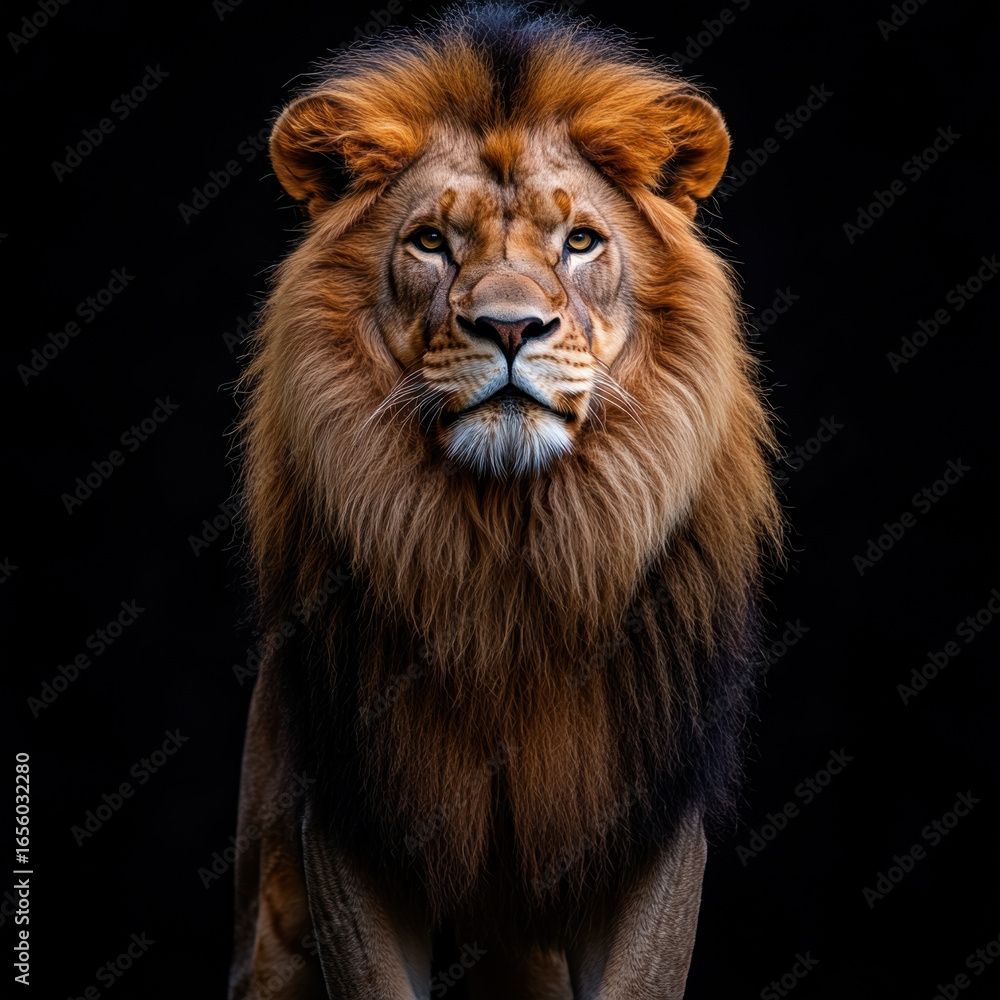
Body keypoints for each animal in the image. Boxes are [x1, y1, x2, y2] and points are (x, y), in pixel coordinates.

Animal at [229, 5, 782, 998]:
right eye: (431, 242)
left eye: (580, 242)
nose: (511, 326)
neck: (509, 550)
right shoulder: (350, 820)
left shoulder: (651, 821)